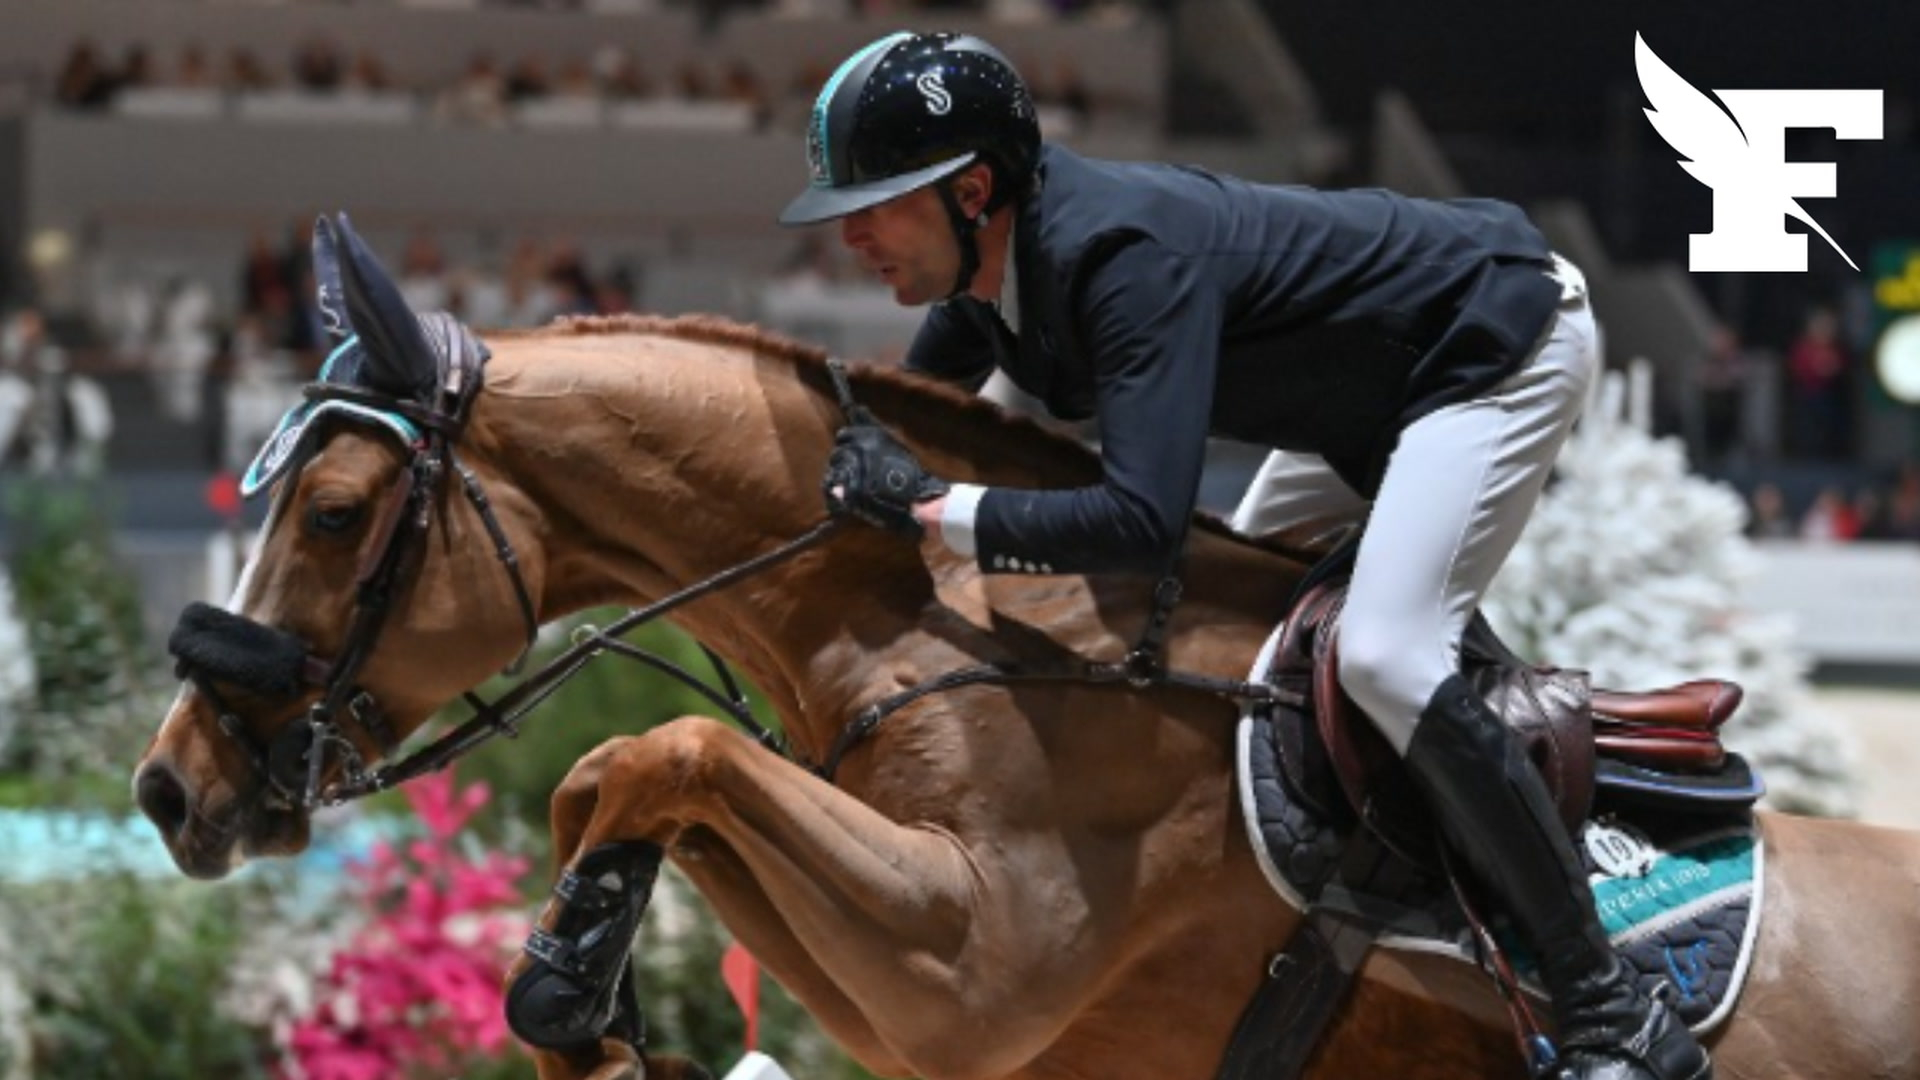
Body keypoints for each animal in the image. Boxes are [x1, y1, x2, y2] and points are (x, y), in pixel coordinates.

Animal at [135, 261, 1920, 1076]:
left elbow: (667, 757)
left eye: (337, 511)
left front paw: (571, 983)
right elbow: (624, 776)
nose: (171, 788)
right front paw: (584, 986)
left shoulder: (978, 974)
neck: (954, 630)